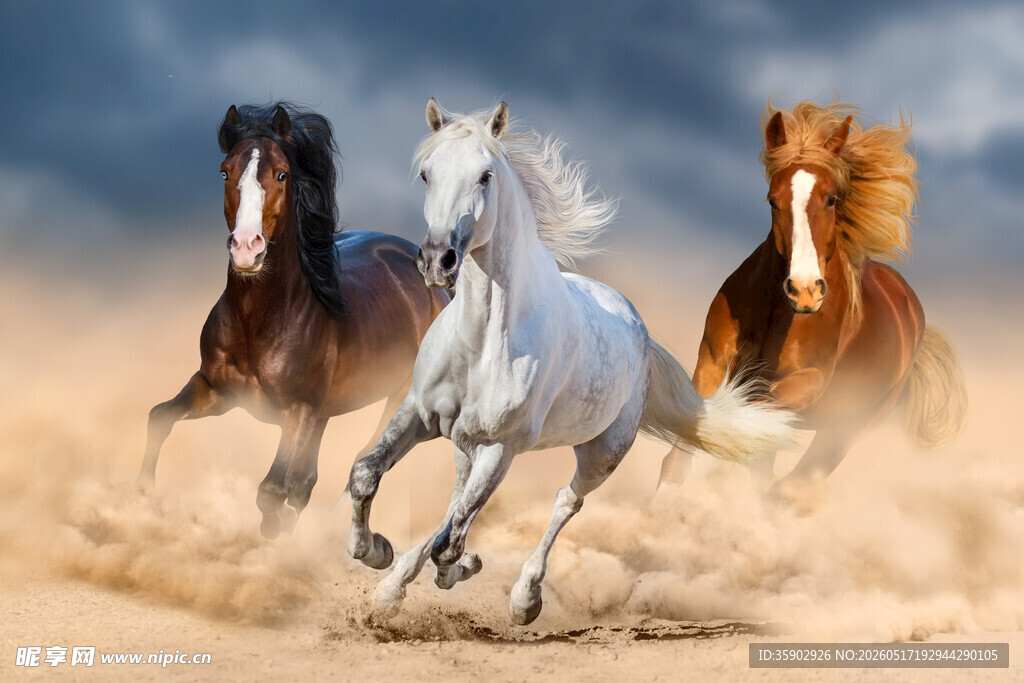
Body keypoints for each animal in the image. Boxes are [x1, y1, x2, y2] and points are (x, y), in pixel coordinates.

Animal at [138, 102, 449, 538]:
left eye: (282, 173)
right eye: (225, 171)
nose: (246, 248)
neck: (261, 321)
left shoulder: (298, 411)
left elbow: (271, 490)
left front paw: (271, 538)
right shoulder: (217, 390)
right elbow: (159, 418)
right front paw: (144, 496)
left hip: (399, 397)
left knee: (364, 461)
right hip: (326, 411)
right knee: (306, 481)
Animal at [344, 99, 797, 625]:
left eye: (485, 176)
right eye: (426, 173)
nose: (439, 260)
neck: (482, 341)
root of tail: (638, 328)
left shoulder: (501, 447)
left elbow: (451, 542)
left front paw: (457, 568)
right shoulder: (419, 412)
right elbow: (367, 475)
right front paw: (376, 553)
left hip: (601, 453)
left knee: (564, 502)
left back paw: (524, 598)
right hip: (466, 443)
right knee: (457, 500)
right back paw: (394, 586)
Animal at [658, 101, 968, 498]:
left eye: (831, 198)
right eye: (773, 201)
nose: (805, 290)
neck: (775, 313)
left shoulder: (808, 383)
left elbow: (749, 416)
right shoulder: (712, 362)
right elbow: (683, 451)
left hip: (848, 429)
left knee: (792, 483)